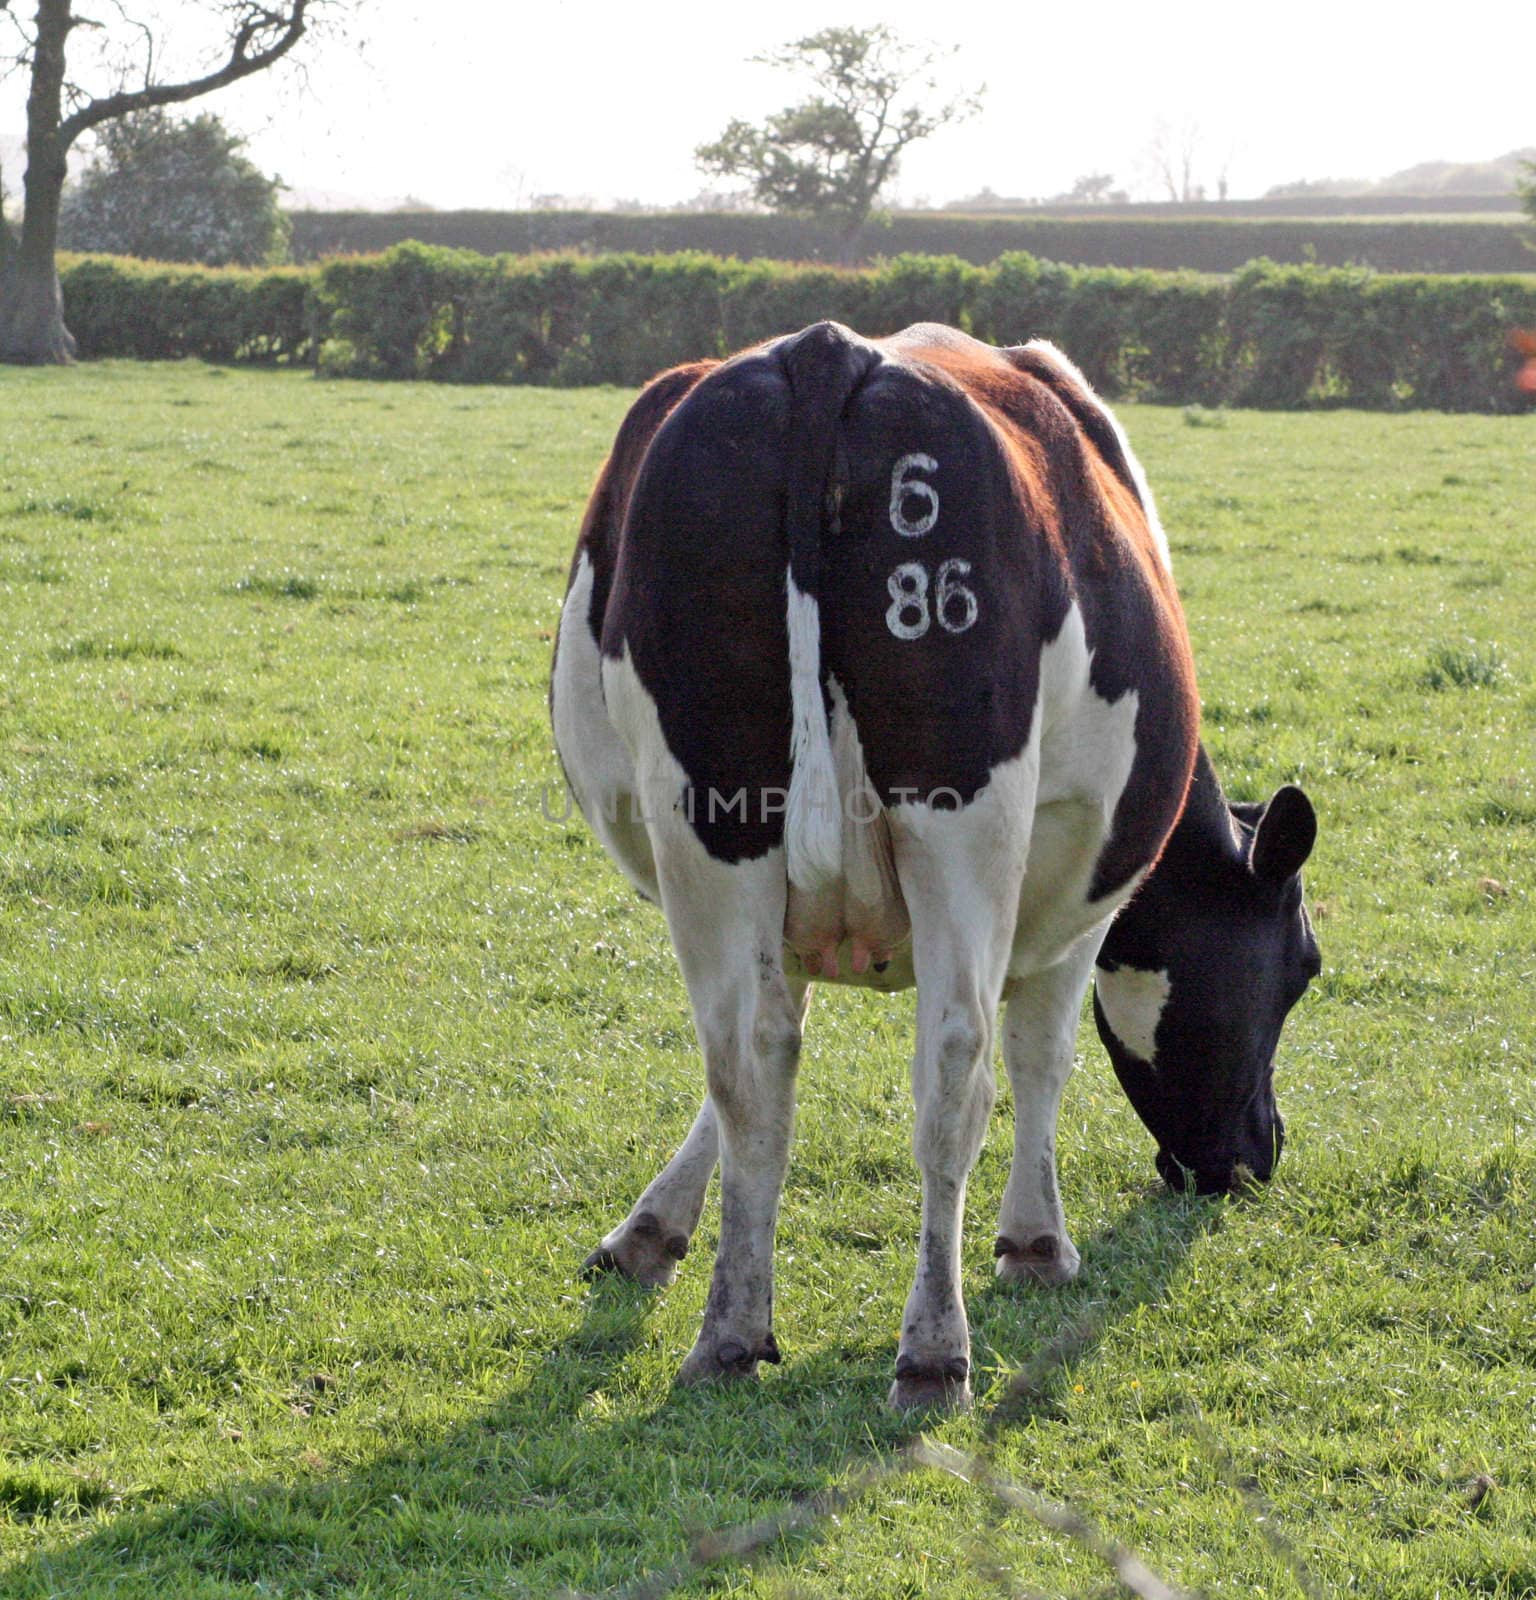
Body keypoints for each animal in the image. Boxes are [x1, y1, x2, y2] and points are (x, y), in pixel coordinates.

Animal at [550, 324, 1318, 1414]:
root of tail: (831, 351)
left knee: (747, 1058)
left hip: (712, 816)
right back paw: (933, 1350)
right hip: (963, 815)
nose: (1257, 1154)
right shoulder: (1079, 907)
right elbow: (1043, 1052)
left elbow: (757, 1068)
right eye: (1303, 970)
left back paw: (733, 1330)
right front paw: (1036, 1243)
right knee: (954, 1070)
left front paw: (651, 1229)